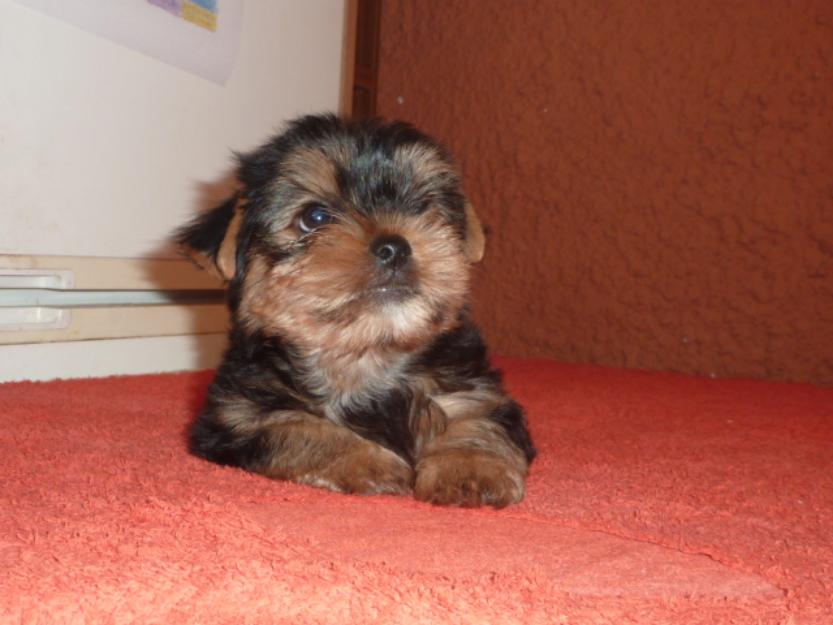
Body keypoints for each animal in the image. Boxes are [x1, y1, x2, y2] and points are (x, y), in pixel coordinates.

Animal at [179, 113, 536, 508]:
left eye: (424, 206)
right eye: (315, 217)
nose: (394, 246)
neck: (368, 350)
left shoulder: (478, 391)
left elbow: (479, 419)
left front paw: (470, 469)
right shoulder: (238, 417)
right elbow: (298, 427)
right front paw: (373, 462)